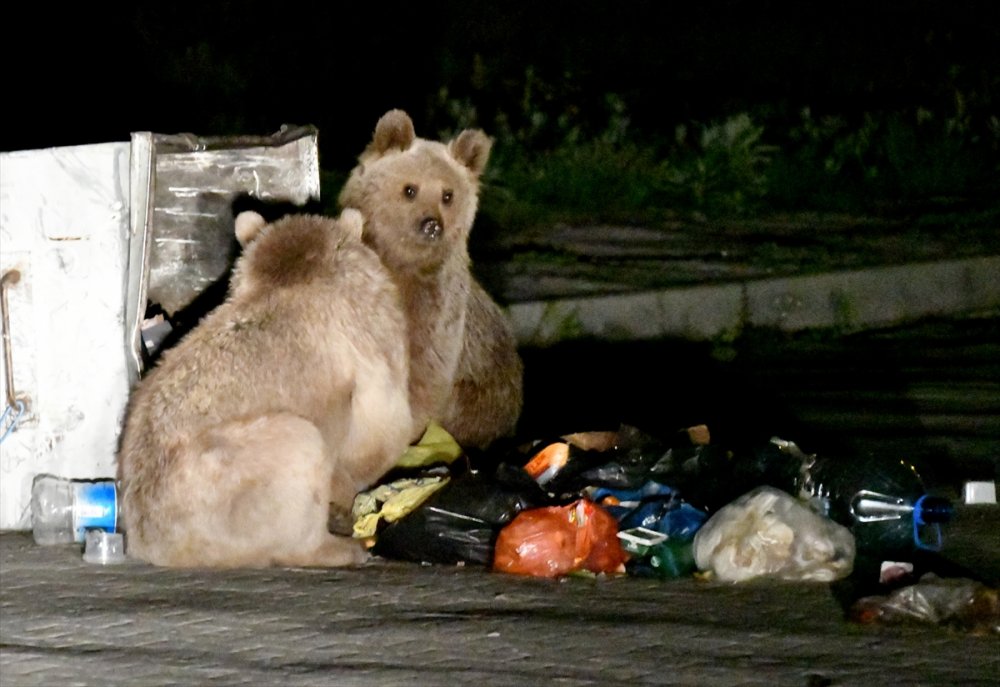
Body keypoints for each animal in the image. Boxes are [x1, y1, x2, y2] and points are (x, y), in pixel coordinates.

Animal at [118, 210, 414, 568]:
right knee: (299, 448)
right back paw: (337, 548)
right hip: (230, 481)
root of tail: (149, 543)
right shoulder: (369, 329)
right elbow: (381, 427)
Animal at [338, 109, 524, 448]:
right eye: (410, 189)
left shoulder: (437, 313)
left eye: (447, 195)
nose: (431, 224)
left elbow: (424, 374)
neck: (402, 267)